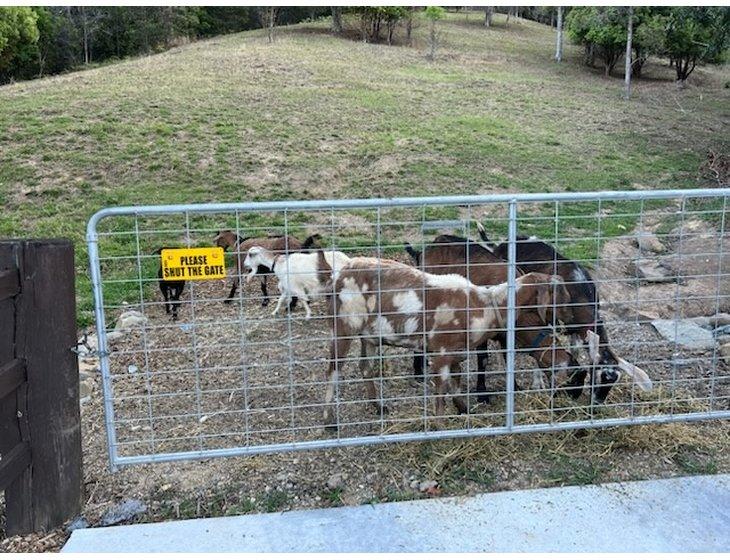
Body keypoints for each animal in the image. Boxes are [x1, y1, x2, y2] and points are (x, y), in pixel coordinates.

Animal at [316, 254, 560, 428]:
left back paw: (379, 406)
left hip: (370, 336)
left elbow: (457, 383)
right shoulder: (441, 353)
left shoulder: (456, 353)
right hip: (343, 326)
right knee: (333, 370)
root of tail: (338, 276)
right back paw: (329, 420)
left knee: (365, 367)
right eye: (557, 292)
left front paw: (463, 409)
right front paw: (439, 426)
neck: (487, 305)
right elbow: (441, 392)